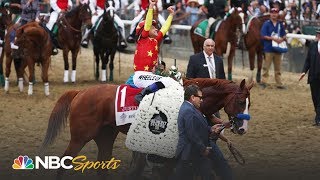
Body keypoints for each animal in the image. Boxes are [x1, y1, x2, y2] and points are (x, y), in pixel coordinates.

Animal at [40, 78, 254, 179]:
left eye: (249, 104)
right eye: (241, 101)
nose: (242, 128)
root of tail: (81, 92)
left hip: (105, 136)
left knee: (102, 166)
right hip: (80, 137)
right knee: (63, 163)